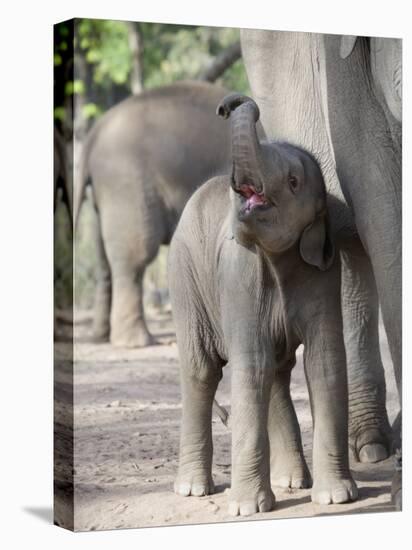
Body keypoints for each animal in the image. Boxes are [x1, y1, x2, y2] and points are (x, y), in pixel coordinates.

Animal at [75, 81, 233, 350]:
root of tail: (92, 137)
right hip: (126, 184)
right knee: (135, 258)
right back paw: (135, 343)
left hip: (103, 196)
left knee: (104, 260)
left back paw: (101, 337)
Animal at [167, 94, 358, 516]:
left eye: (292, 181)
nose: (228, 104)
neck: (279, 258)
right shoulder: (238, 276)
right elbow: (251, 361)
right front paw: (245, 509)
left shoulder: (324, 273)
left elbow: (324, 360)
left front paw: (337, 497)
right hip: (185, 277)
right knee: (203, 370)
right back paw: (193, 490)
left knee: (276, 370)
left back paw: (292, 482)